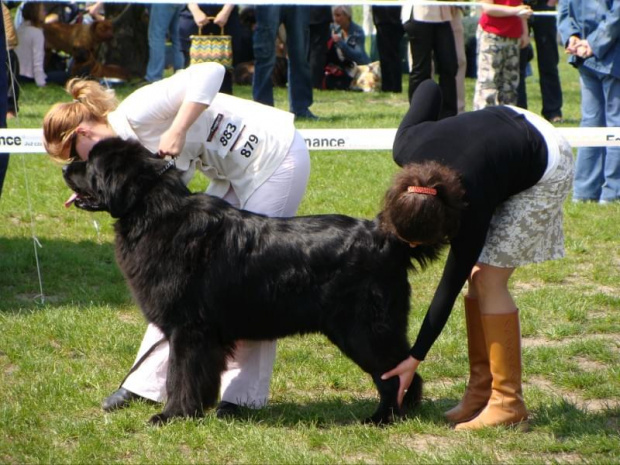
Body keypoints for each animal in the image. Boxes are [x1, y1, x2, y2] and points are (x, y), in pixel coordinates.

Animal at [61, 137, 440, 424]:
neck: (153, 212)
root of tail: (385, 236)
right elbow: (190, 376)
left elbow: (178, 375)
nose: (65, 166)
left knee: (397, 374)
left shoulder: (188, 329)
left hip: (364, 330)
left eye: (90, 163)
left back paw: (382, 418)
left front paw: (171, 415)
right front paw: (194, 411)